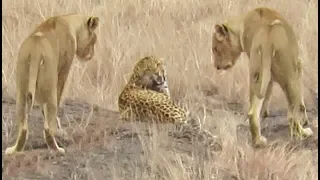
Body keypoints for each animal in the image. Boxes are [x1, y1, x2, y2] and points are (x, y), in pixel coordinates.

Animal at [4, 14, 99, 155]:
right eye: (94, 40)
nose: (91, 55)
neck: (70, 21)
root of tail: (35, 51)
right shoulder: (63, 70)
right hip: (49, 87)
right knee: (48, 127)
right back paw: (57, 149)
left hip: (21, 90)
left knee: (23, 126)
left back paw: (14, 150)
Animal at [211, 6, 314, 148]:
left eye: (215, 49)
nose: (216, 66)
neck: (241, 25)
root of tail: (267, 37)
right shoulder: (298, 66)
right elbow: (301, 103)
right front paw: (305, 120)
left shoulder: (267, 78)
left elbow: (267, 96)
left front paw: (265, 114)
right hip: (289, 76)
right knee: (292, 115)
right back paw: (303, 133)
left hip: (257, 73)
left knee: (252, 112)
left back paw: (258, 141)